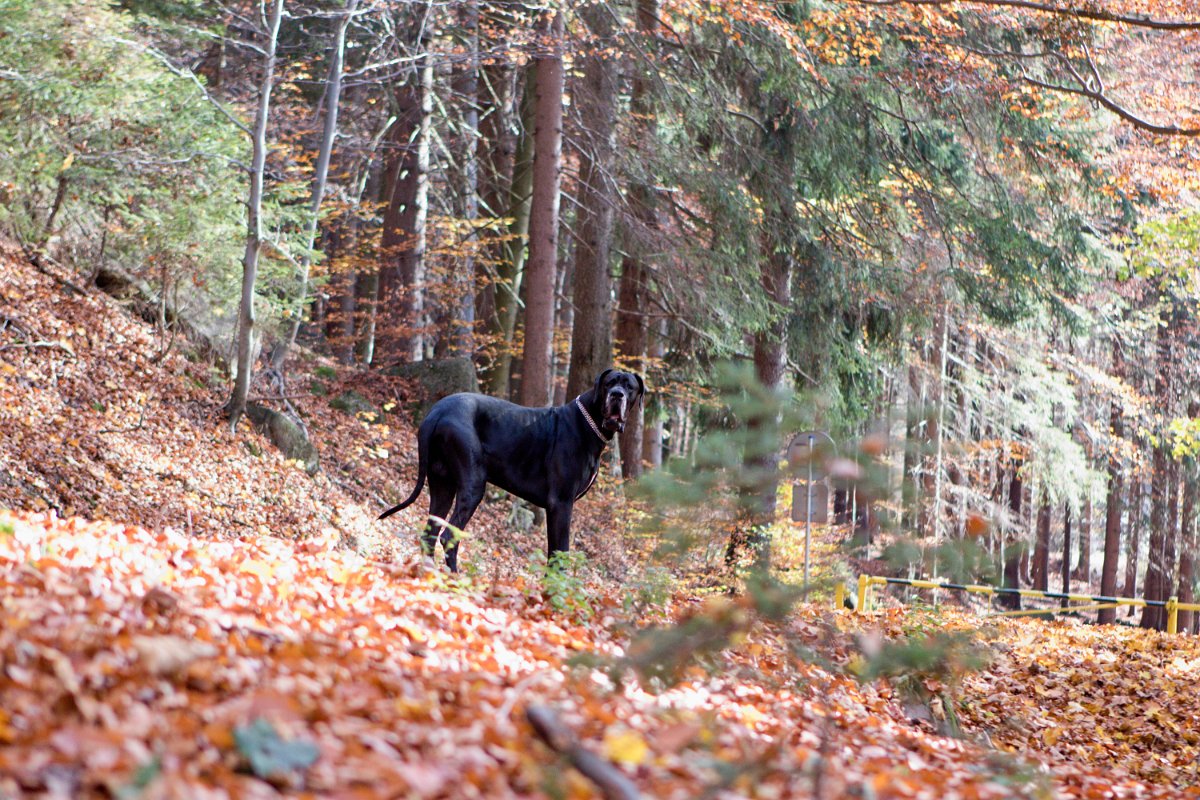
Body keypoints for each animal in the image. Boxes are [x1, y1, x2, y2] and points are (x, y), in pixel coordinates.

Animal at [379, 369, 643, 568]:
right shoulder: (561, 504)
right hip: (473, 485)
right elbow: (559, 555)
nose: (617, 395)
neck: (588, 423)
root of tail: (437, 411)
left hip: (442, 484)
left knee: (430, 534)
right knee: (448, 537)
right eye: (609, 383)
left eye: (629, 386)